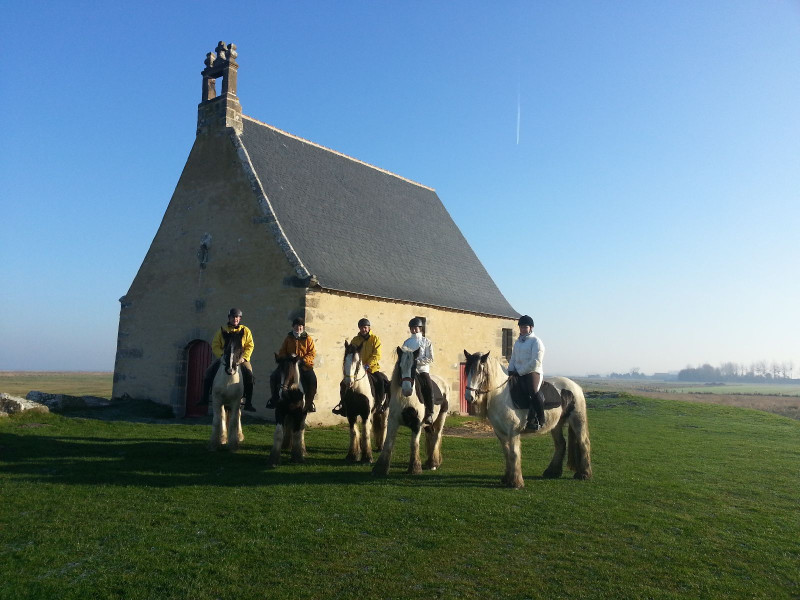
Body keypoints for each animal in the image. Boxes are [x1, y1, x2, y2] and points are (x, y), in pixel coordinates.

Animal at [374, 346, 450, 478]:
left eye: (414, 367)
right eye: (400, 366)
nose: (407, 390)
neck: (407, 400)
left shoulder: (416, 424)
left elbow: (414, 444)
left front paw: (414, 468)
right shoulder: (393, 422)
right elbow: (388, 443)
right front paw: (380, 468)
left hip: (442, 416)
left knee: (437, 435)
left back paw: (433, 463)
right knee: (431, 435)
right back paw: (430, 462)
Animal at [460, 352, 592, 488]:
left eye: (480, 371)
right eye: (467, 371)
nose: (469, 397)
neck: (502, 395)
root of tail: (575, 386)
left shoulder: (513, 431)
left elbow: (514, 453)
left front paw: (516, 482)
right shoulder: (500, 432)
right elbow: (507, 453)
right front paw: (507, 478)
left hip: (577, 420)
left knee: (584, 442)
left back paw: (584, 474)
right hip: (556, 424)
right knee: (560, 444)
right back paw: (552, 472)